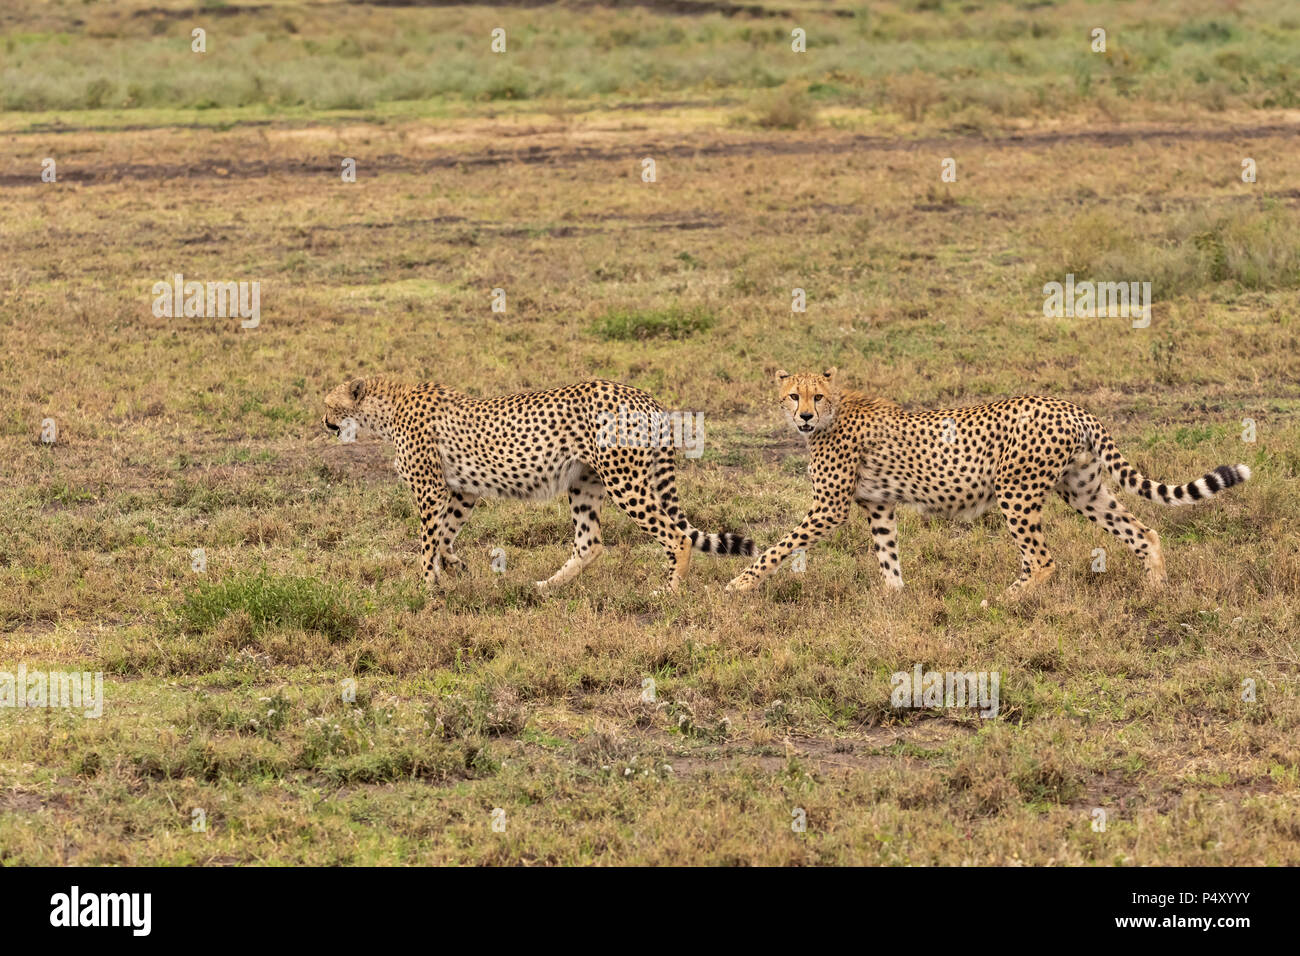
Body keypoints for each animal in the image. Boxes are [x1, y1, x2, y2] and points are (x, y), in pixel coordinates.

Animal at [319, 379, 759, 590]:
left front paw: (427, 585)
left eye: (327, 404)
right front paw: (456, 567)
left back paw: (668, 592)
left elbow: (428, 542)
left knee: (677, 537)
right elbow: (444, 536)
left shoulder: (431, 490)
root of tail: (643, 396)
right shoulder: (463, 491)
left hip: (624, 481)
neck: (386, 409)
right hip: (585, 483)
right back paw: (545, 587)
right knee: (590, 544)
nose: (323, 421)